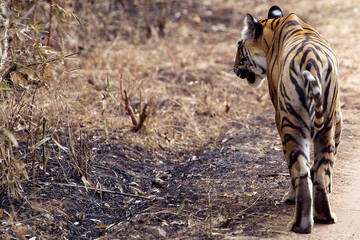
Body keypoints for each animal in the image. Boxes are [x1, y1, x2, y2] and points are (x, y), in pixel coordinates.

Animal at [235, 5, 342, 233]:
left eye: (239, 45)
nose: (234, 67)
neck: (274, 26)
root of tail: (311, 62)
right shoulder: (339, 118)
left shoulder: (278, 115)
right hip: (327, 124)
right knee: (321, 172)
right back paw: (325, 217)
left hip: (291, 124)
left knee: (299, 171)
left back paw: (299, 224)